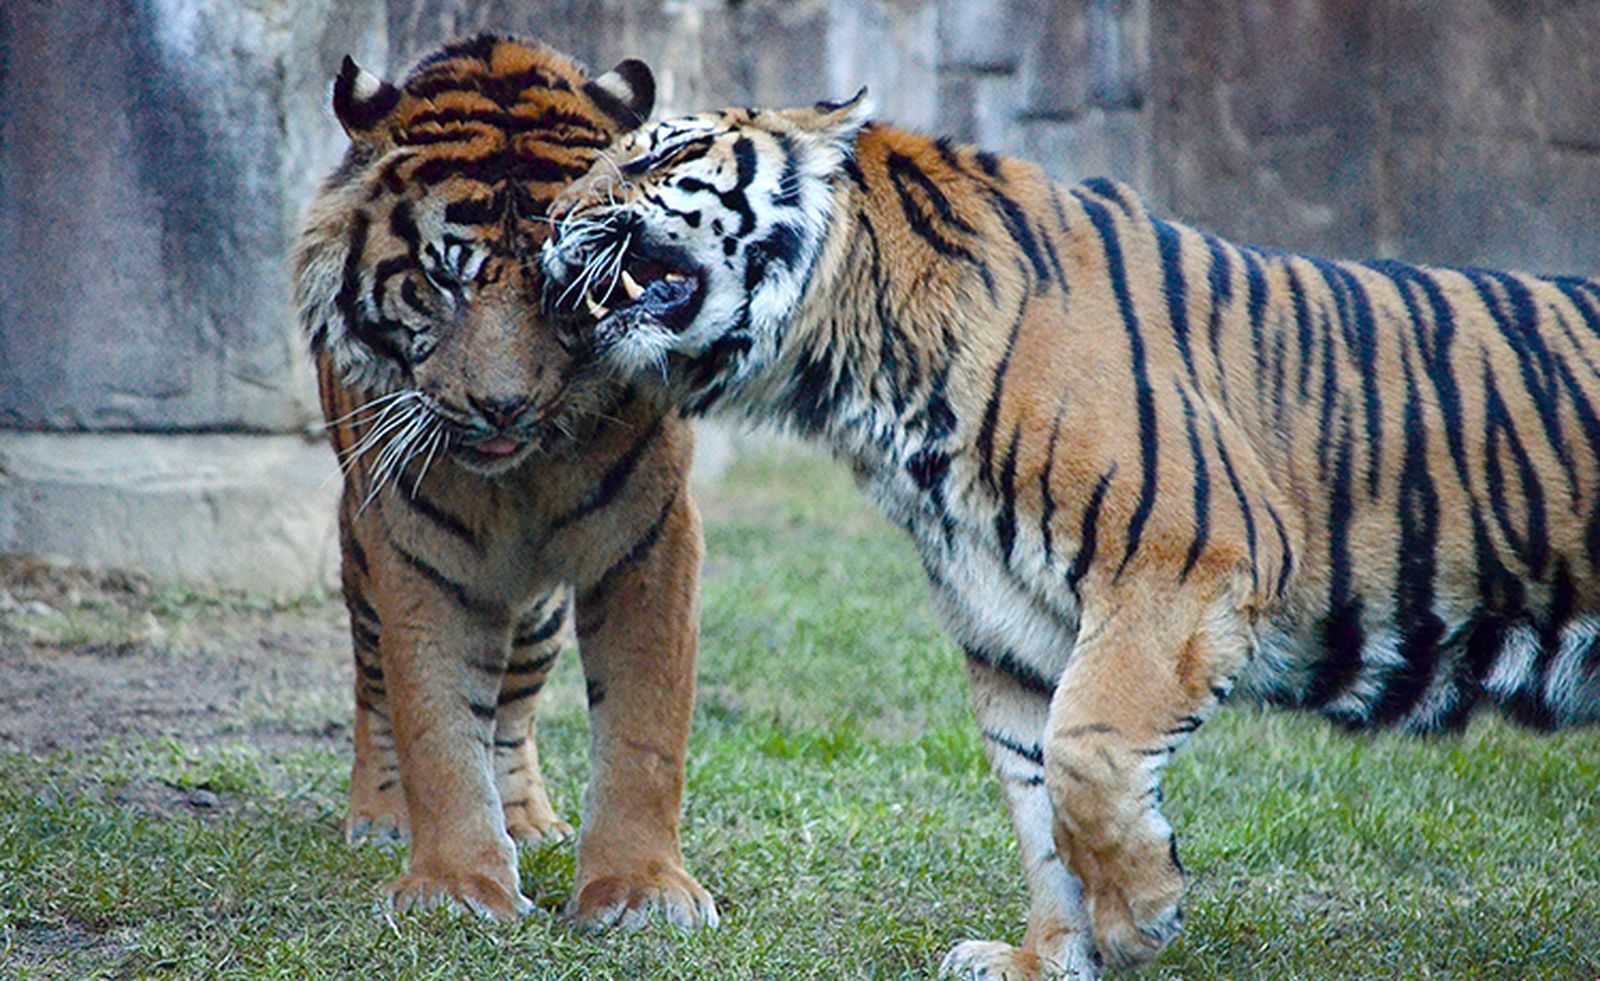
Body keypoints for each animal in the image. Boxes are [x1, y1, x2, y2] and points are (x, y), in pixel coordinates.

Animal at [290, 35, 716, 930]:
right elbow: (436, 724)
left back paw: (527, 819)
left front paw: (641, 888)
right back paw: (382, 816)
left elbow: (645, 727)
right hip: (360, 562)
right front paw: (456, 884)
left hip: (539, 609)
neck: (527, 471)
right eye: (442, 280)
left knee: (514, 709)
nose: (502, 404)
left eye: (570, 282)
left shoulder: (651, 538)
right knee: (375, 684)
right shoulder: (414, 550)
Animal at [538, 93, 1600, 977]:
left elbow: (1086, 754)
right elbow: (1039, 800)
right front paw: (1048, 958)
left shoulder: (1186, 561)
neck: (861, 379)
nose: (550, 223)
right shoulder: (1010, 630)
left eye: (661, 153)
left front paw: (1143, 915)